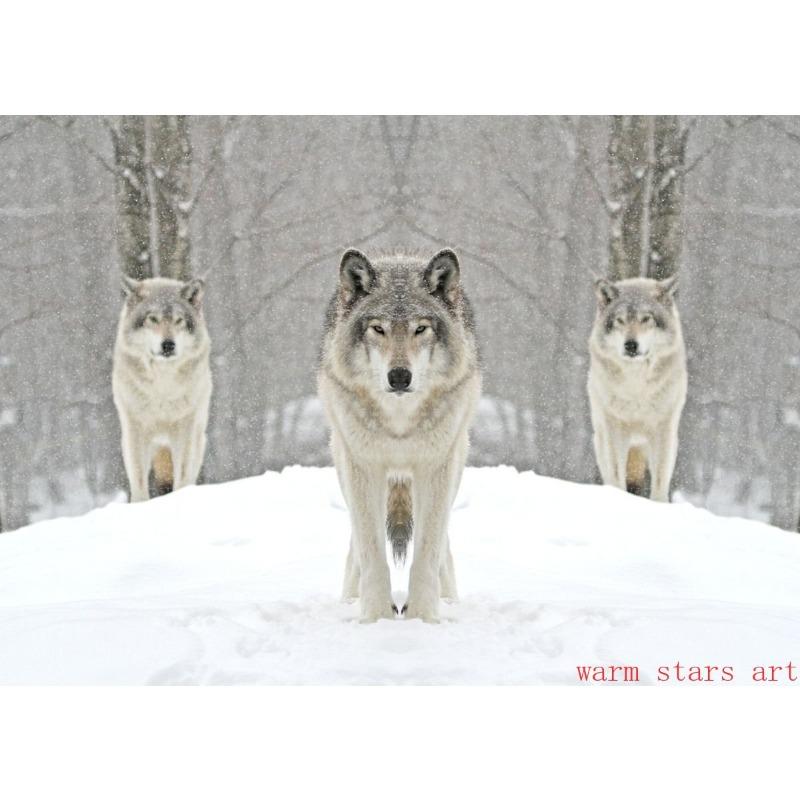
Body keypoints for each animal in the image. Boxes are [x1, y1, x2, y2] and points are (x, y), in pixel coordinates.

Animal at [112, 276, 212, 502]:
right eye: (153, 319)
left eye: (178, 320)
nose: (168, 345)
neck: (162, 389)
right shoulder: (135, 429)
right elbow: (139, 480)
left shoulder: (185, 427)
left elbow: (182, 474)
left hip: (198, 438)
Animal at [318, 248, 481, 623]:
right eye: (378, 328)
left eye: (420, 328)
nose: (399, 376)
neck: (399, 424)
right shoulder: (363, 467)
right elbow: (371, 552)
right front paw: (376, 617)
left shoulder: (435, 468)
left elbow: (428, 552)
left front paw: (423, 617)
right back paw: (350, 600)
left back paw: (449, 600)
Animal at [587, 275, 687, 502]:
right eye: (620, 320)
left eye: (646, 318)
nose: (631, 345)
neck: (636, 388)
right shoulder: (614, 427)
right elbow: (617, 473)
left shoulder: (663, 428)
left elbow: (660, 479)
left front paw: (658, 504)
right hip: (601, 439)